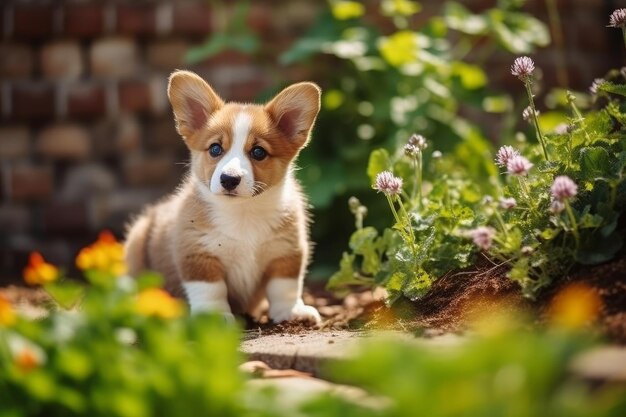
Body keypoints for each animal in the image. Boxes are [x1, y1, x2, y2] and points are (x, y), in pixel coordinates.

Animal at [122, 70, 320, 324]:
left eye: (258, 152)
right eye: (215, 148)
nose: (229, 179)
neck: (243, 212)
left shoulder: (286, 252)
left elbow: (285, 286)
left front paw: (291, 312)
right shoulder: (197, 255)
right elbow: (211, 290)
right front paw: (214, 317)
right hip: (136, 241)